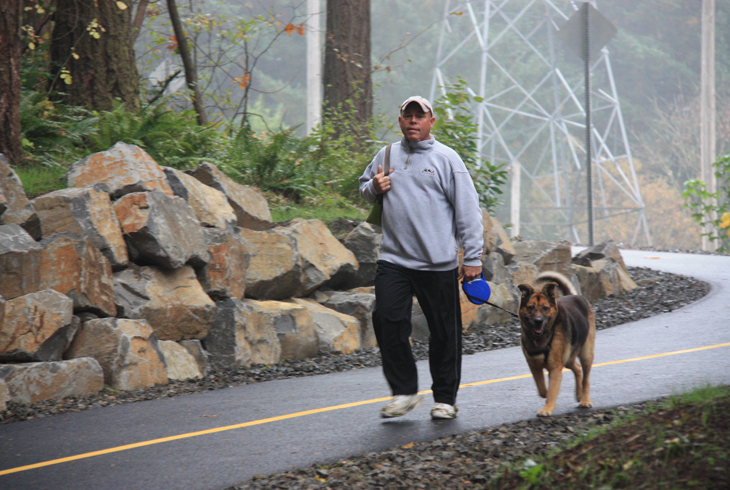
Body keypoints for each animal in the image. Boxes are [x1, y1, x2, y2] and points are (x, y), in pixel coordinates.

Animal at [516, 272, 596, 418]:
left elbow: (552, 390)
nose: (538, 321)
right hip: (568, 358)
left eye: (545, 308)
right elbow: (543, 390)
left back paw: (585, 400)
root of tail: (574, 295)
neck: (540, 338)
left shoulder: (555, 368)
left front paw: (547, 409)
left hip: (586, 354)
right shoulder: (534, 366)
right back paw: (578, 394)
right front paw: (547, 398)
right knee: (577, 368)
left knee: (586, 379)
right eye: (531, 307)